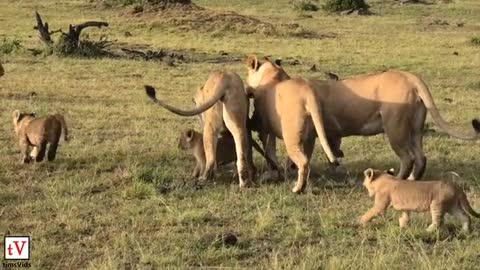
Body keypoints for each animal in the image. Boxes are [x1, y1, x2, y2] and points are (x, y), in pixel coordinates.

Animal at [246, 54, 478, 181]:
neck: (276, 78)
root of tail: (411, 77)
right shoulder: (327, 133)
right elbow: (327, 152)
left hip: (395, 128)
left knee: (408, 157)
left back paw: (399, 179)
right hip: (415, 129)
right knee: (421, 157)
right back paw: (412, 179)